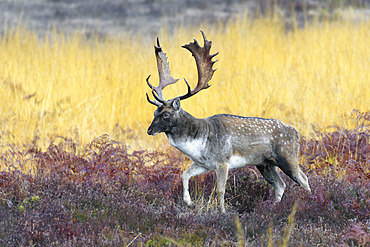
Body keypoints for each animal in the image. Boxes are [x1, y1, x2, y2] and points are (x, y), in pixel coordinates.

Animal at [146, 30, 310, 212]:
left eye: (166, 114)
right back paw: (272, 208)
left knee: (304, 179)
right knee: (280, 184)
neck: (198, 143)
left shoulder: (222, 161)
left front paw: (222, 212)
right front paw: (189, 202)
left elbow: (220, 190)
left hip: (287, 156)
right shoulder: (202, 164)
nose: (149, 130)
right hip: (265, 163)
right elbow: (184, 175)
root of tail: (296, 132)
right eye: (155, 111)